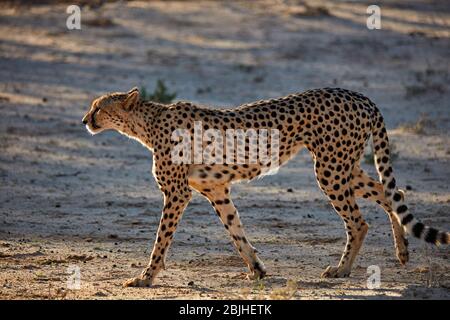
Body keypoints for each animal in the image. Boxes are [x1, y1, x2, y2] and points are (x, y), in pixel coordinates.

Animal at [82, 86, 448, 286]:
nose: (85, 120)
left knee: (359, 221)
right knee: (392, 192)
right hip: (342, 167)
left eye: (99, 107)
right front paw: (257, 270)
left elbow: (161, 240)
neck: (147, 123)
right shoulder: (217, 191)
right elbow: (236, 232)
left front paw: (145, 277)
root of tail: (359, 96)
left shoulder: (177, 193)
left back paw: (342, 269)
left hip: (330, 170)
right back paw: (402, 251)